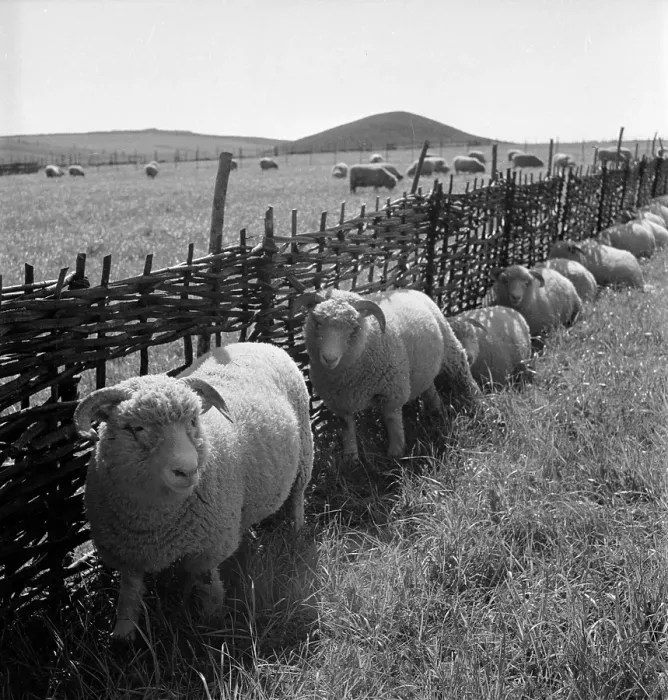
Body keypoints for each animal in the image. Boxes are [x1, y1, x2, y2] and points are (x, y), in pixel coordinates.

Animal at [73, 342, 314, 640]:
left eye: (193, 421)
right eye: (138, 428)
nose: (187, 471)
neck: (153, 519)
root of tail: (260, 344)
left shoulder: (208, 545)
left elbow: (207, 583)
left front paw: (211, 622)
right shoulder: (127, 551)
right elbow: (129, 592)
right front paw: (123, 633)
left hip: (305, 451)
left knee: (298, 495)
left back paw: (296, 529)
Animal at [296, 288, 478, 462]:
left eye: (354, 327)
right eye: (317, 323)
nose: (329, 358)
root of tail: (412, 290)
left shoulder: (393, 392)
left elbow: (392, 421)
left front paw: (396, 455)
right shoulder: (339, 403)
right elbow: (347, 429)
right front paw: (351, 459)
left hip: (449, 346)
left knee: (461, 367)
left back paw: (474, 401)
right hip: (424, 368)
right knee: (429, 387)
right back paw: (437, 409)